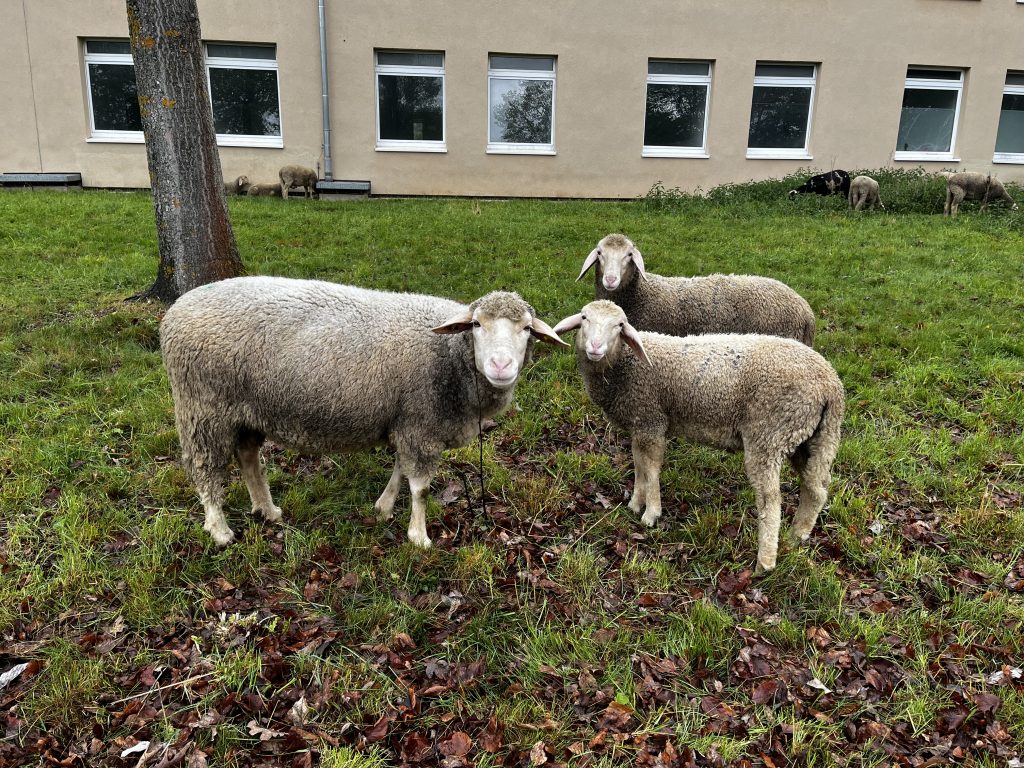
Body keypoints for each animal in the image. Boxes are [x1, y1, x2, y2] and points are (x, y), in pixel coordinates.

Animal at [159, 277, 567, 548]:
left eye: (526, 329)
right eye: (477, 324)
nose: (501, 365)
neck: (451, 356)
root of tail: (175, 311)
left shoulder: (408, 422)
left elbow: (400, 470)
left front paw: (383, 508)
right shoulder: (422, 425)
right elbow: (420, 488)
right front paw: (419, 537)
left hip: (248, 409)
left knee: (247, 457)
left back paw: (267, 509)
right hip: (203, 406)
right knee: (205, 468)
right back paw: (220, 530)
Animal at [553, 300, 844, 572]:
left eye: (619, 325)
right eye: (584, 317)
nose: (595, 347)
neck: (625, 365)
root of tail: (830, 384)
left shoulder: (652, 421)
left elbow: (651, 468)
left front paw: (651, 514)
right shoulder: (640, 423)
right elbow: (638, 465)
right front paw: (636, 503)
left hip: (769, 434)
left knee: (770, 501)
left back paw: (765, 562)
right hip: (810, 437)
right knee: (815, 490)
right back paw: (796, 537)